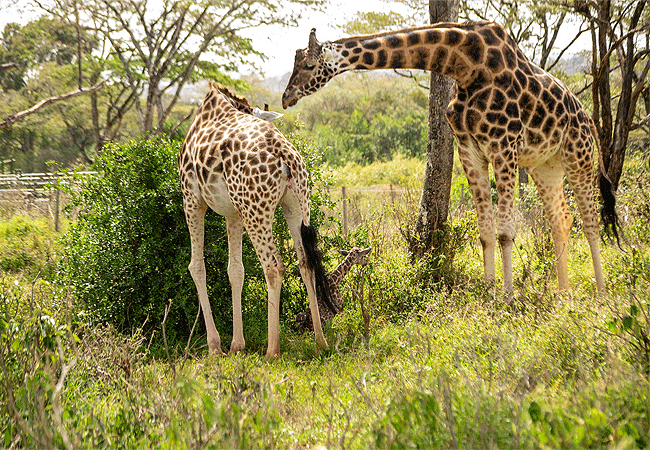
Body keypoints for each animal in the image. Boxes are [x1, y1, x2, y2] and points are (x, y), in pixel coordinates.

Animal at [177, 81, 332, 358]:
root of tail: (284, 155)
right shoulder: (233, 212)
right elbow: (235, 269)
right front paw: (237, 345)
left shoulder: (192, 199)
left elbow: (197, 267)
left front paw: (215, 346)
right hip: (296, 206)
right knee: (306, 262)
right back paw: (320, 342)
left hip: (255, 210)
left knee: (273, 266)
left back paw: (272, 350)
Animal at [282, 21, 616, 296]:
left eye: (309, 65)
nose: (286, 98)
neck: (466, 67)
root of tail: (589, 119)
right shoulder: (470, 150)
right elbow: (485, 232)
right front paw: (489, 294)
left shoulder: (503, 146)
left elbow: (505, 232)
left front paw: (508, 296)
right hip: (545, 166)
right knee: (562, 218)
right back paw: (563, 293)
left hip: (579, 156)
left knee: (590, 220)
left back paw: (600, 291)